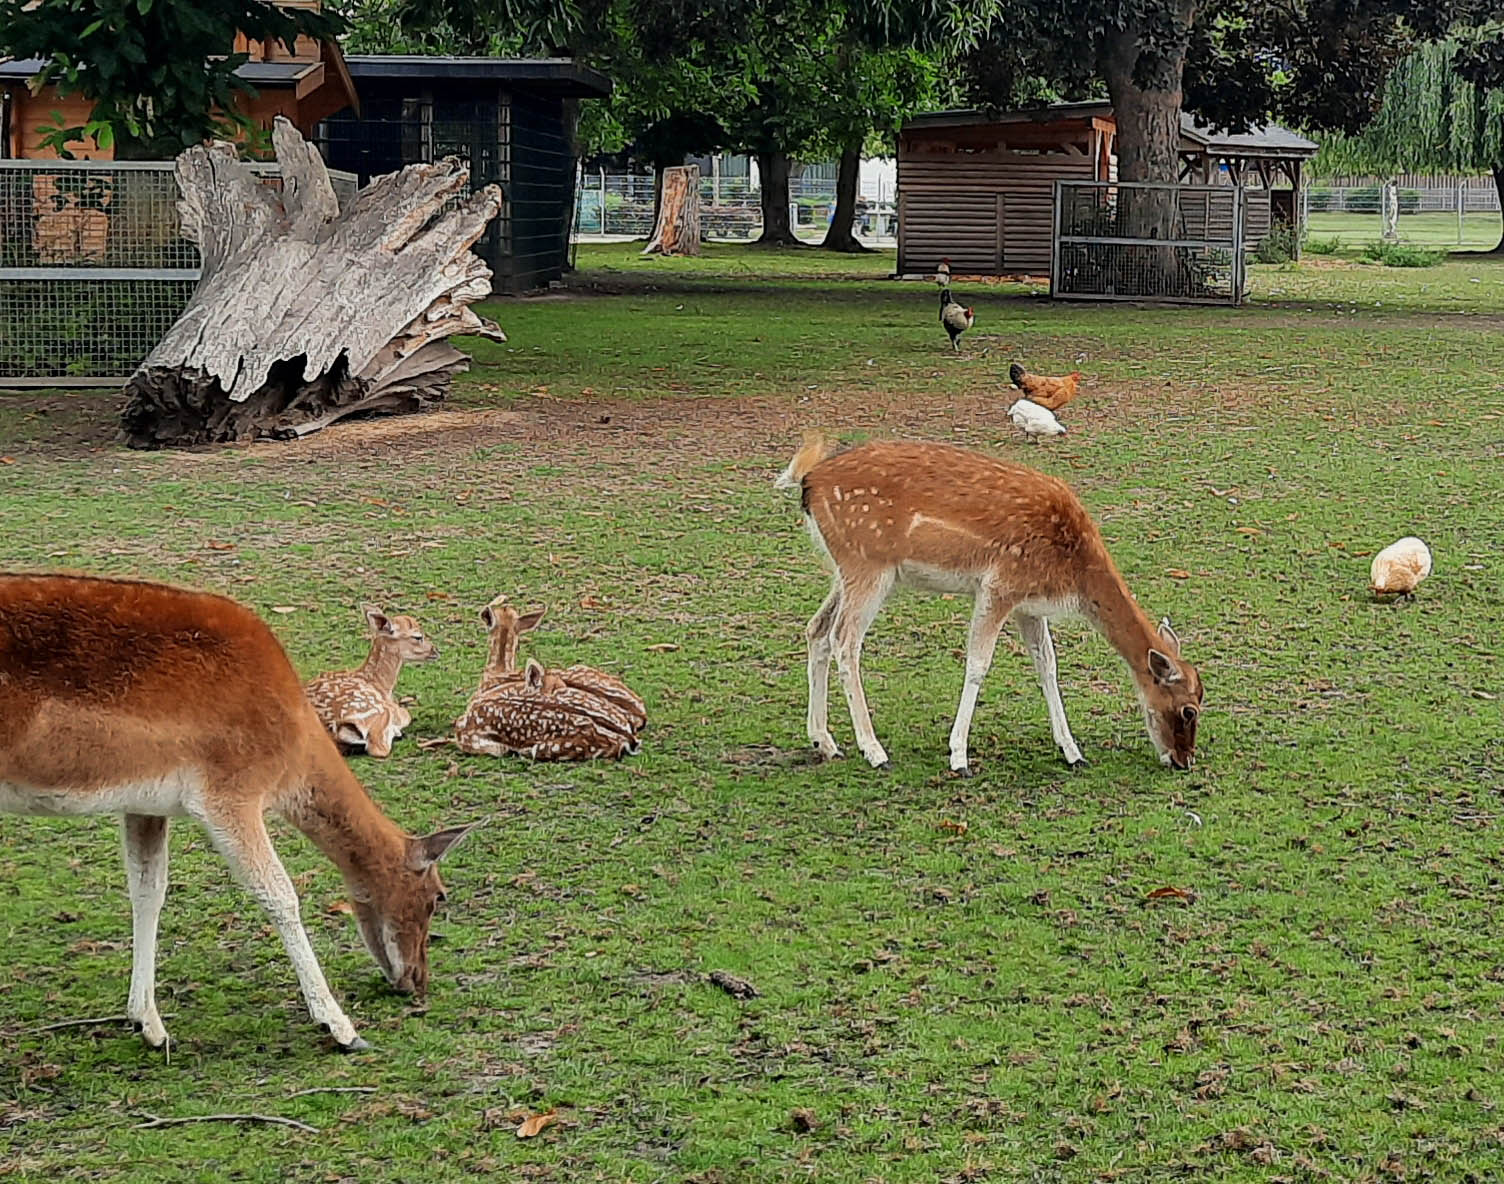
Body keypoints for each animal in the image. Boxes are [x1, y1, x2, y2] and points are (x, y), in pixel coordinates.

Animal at [0, 574, 475, 1047]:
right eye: (437, 896)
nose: (417, 981)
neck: (292, 746)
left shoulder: (143, 803)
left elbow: (148, 890)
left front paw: (149, 1024)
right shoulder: (228, 793)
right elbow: (280, 894)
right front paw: (341, 1027)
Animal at [782, 439, 1203, 776]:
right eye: (1188, 710)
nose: (1184, 761)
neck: (1073, 571)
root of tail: (808, 482)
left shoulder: (1029, 606)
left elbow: (1048, 666)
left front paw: (1073, 752)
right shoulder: (999, 586)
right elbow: (978, 664)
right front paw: (958, 757)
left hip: (846, 570)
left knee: (817, 629)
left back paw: (824, 741)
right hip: (867, 564)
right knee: (844, 641)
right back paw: (874, 751)